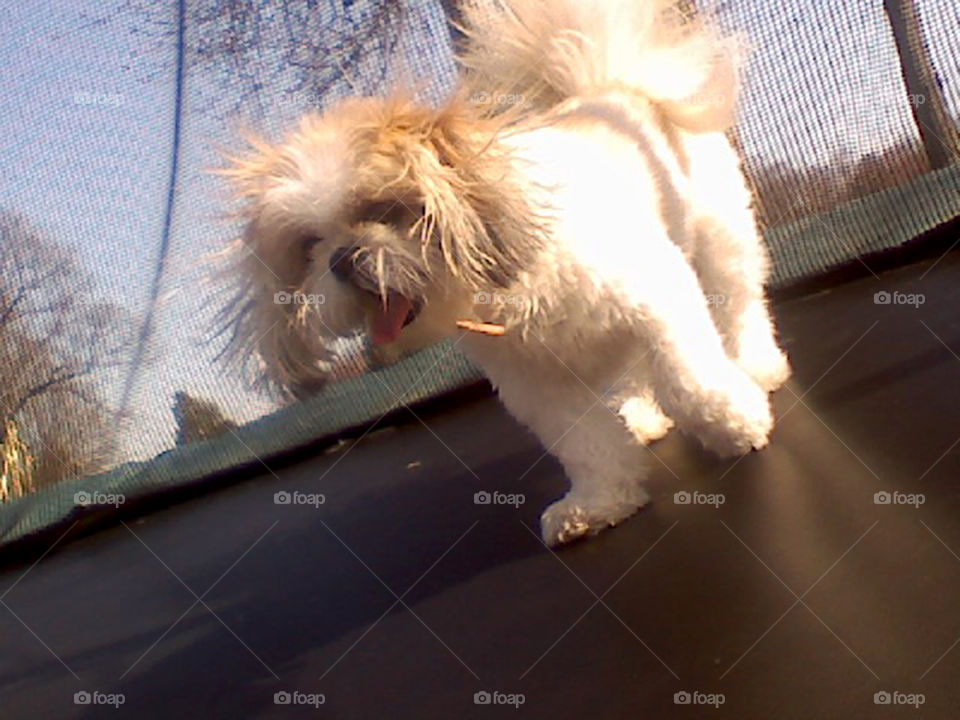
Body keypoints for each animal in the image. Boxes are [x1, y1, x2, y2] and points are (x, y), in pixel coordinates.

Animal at [221, 0, 792, 544]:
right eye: (310, 246)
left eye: (385, 209)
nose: (342, 259)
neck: (504, 289)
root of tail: (608, 86)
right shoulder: (536, 387)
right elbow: (586, 444)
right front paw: (600, 502)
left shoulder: (657, 299)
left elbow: (689, 381)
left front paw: (733, 424)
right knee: (631, 374)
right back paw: (640, 416)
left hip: (722, 241)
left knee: (739, 308)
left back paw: (758, 367)